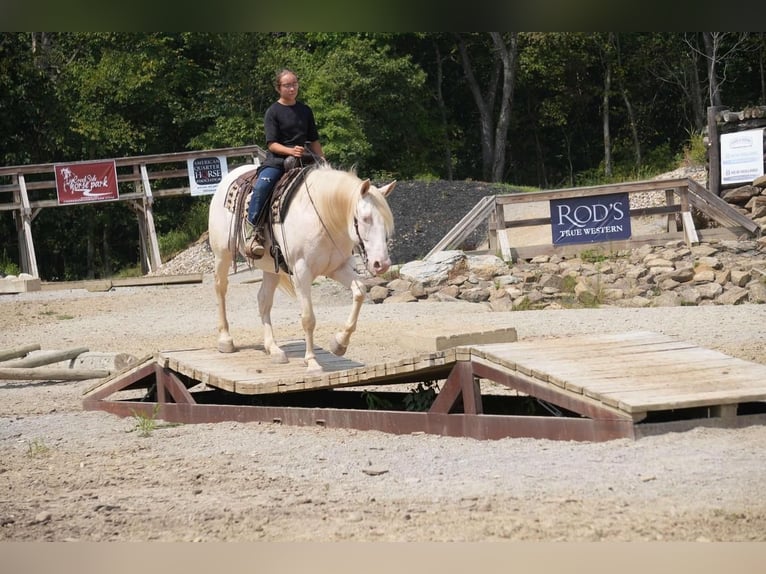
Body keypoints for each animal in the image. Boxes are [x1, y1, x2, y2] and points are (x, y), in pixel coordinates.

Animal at [207, 164, 396, 376]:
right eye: (365, 218)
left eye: (386, 220)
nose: (382, 263)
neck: (323, 216)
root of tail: (230, 176)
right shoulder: (301, 272)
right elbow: (308, 318)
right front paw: (312, 362)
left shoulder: (338, 268)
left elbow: (360, 292)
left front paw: (339, 343)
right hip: (222, 255)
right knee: (221, 288)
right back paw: (225, 340)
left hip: (271, 269)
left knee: (263, 300)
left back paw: (274, 349)